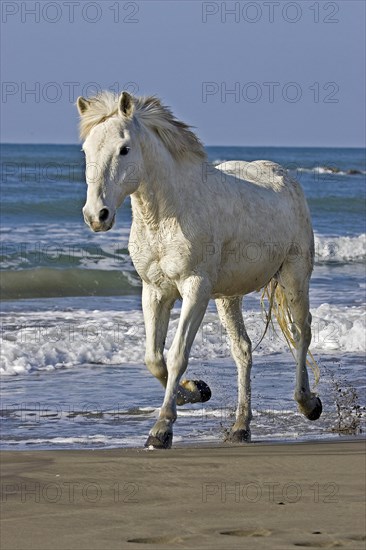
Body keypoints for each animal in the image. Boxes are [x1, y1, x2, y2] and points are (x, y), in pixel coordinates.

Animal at [76, 92, 322, 450]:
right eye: (86, 151)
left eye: (124, 149)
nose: (97, 215)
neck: (165, 215)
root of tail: (284, 177)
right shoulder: (155, 291)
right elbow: (154, 358)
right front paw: (196, 390)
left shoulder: (195, 288)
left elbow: (177, 354)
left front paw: (161, 429)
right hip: (228, 296)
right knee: (243, 350)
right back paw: (240, 427)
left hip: (294, 276)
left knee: (302, 333)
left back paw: (308, 404)